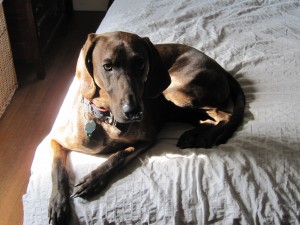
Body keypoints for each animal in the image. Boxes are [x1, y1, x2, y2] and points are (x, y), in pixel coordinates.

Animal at [48, 30, 246, 224]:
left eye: (140, 64)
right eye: (108, 66)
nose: (134, 111)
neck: (107, 119)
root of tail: (220, 68)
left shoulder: (147, 139)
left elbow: (119, 155)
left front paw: (93, 180)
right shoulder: (56, 138)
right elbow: (58, 170)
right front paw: (58, 205)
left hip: (174, 89)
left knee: (224, 115)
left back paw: (205, 137)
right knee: (206, 119)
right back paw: (192, 135)